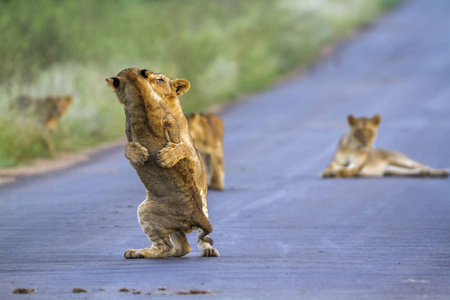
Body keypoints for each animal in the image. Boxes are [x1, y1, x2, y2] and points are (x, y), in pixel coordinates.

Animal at [105, 68, 218, 258]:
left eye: (160, 79)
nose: (148, 81)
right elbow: (127, 148)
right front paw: (138, 154)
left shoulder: (191, 152)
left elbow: (182, 148)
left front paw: (166, 157)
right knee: (181, 244)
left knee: (199, 237)